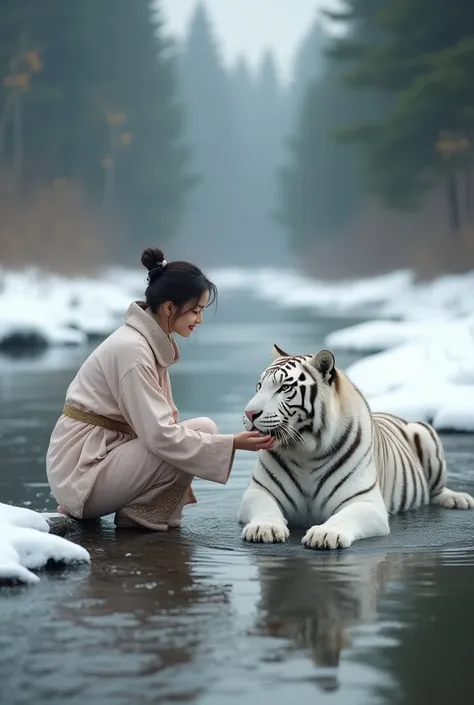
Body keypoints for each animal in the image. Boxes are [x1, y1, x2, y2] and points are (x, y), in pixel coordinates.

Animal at [239, 346, 472, 552]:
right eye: (259, 386)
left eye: (284, 388)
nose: (249, 413)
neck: (306, 450)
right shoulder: (259, 491)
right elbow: (264, 508)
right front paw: (264, 528)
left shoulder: (365, 501)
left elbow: (344, 516)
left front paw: (325, 534)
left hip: (424, 434)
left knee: (438, 490)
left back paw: (458, 499)